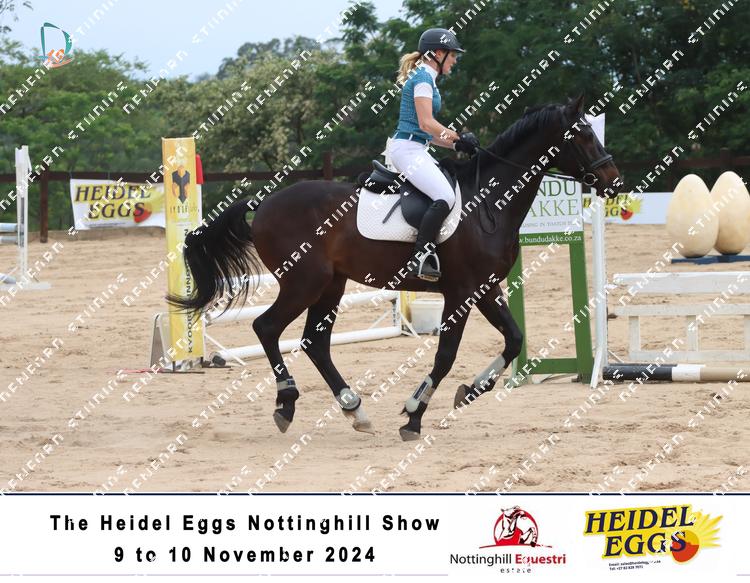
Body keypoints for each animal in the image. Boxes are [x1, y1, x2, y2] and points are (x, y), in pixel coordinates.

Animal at [167, 94, 622, 441]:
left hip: (331, 285)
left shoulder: (486, 288)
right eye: (582, 135)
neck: (487, 205)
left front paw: (469, 392)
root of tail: (264, 202)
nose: (614, 182)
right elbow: (445, 355)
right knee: (267, 328)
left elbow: (513, 340)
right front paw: (414, 414)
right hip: (304, 282)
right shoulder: (460, 293)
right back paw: (287, 403)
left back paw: (354, 409)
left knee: (315, 342)